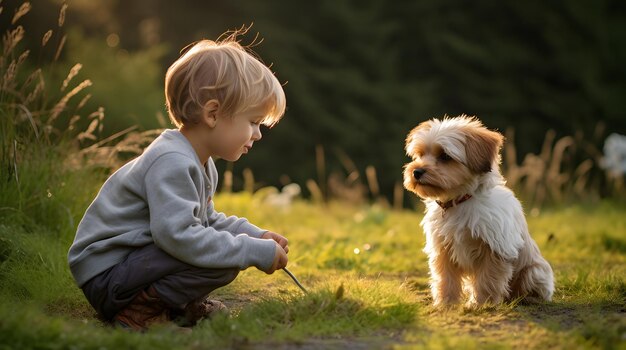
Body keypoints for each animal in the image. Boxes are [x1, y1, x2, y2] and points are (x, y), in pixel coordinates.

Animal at [400, 115, 552, 306]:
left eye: (445, 156)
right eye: (420, 155)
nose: (416, 172)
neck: (459, 201)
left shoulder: (495, 248)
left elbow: (487, 279)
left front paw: (481, 304)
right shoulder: (443, 249)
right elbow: (446, 279)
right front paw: (446, 303)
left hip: (534, 272)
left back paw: (528, 299)